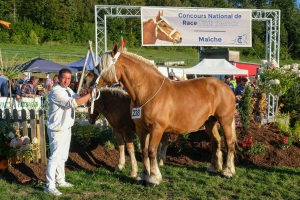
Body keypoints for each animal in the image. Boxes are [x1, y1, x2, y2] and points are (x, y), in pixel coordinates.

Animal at [96, 43, 237, 187]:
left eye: (101, 66)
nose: (90, 81)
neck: (148, 91)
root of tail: (226, 87)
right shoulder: (141, 129)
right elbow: (144, 151)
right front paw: (143, 176)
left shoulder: (157, 128)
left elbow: (152, 151)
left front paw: (153, 178)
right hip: (210, 122)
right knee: (216, 142)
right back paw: (214, 167)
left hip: (225, 120)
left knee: (229, 143)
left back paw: (228, 172)